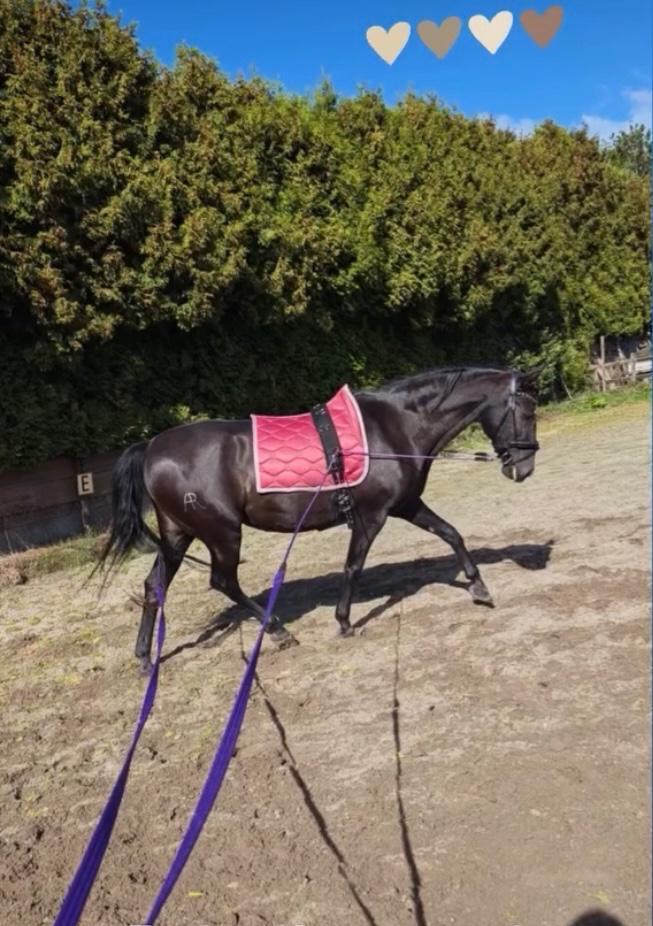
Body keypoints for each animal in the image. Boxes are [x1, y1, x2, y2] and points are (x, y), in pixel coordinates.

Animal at [97, 366, 540, 670]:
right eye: (528, 412)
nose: (524, 468)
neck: (394, 428)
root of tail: (152, 448)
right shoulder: (372, 515)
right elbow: (353, 565)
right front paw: (345, 621)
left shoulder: (407, 504)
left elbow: (452, 534)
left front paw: (479, 588)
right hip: (222, 533)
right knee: (222, 581)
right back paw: (279, 630)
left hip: (178, 536)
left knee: (154, 585)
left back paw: (144, 656)